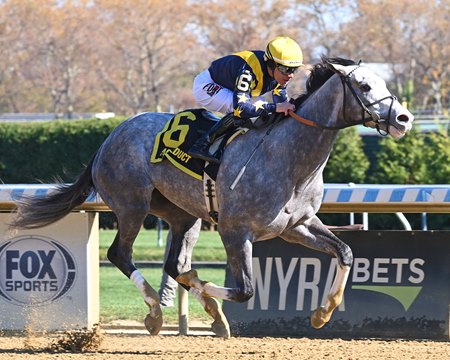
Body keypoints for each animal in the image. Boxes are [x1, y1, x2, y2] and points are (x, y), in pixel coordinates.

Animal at [8, 58, 414, 338]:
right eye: (364, 85)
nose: (404, 119)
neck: (287, 157)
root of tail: (110, 137)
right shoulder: (235, 231)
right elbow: (245, 289)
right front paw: (207, 291)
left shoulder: (296, 226)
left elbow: (345, 252)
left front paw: (322, 313)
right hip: (131, 204)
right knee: (119, 254)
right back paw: (156, 311)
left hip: (182, 215)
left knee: (174, 265)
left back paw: (206, 311)